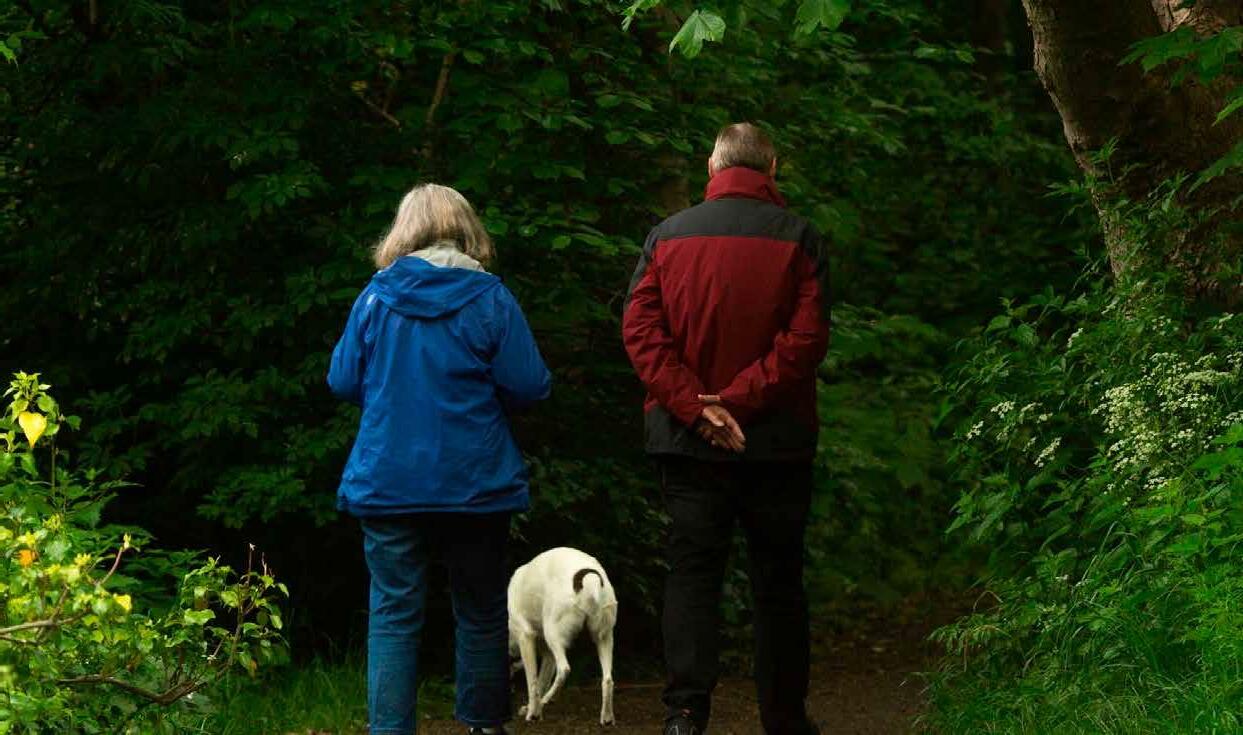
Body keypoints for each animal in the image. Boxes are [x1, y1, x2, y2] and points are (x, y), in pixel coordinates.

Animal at [508, 547, 618, 725]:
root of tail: (589, 579)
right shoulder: (547, 654)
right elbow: (541, 681)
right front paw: (533, 708)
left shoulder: (526, 637)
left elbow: (533, 682)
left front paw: (533, 712)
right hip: (604, 638)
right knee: (608, 679)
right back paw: (607, 718)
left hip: (553, 634)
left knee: (564, 670)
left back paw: (544, 702)